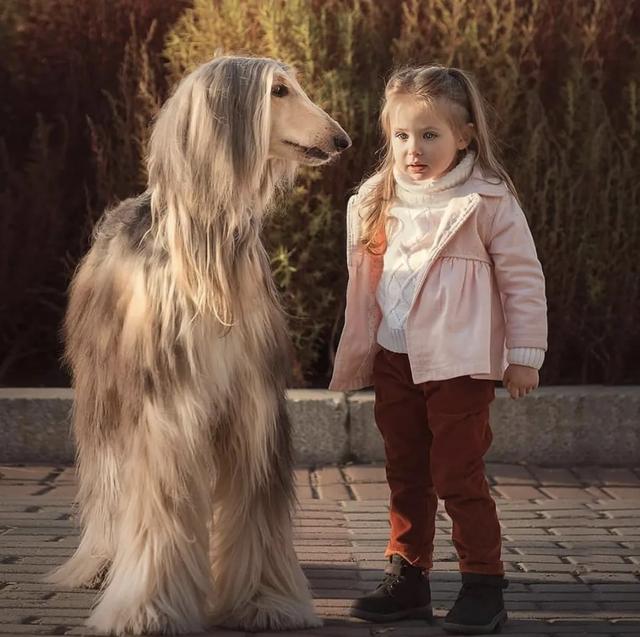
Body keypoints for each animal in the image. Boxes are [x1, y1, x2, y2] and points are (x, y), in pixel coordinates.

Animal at [46, 57, 350, 632]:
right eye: (278, 91)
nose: (340, 139)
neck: (211, 256)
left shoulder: (253, 405)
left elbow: (256, 511)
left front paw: (265, 601)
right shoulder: (166, 407)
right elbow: (158, 510)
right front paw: (146, 607)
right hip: (106, 393)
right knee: (109, 480)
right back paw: (99, 564)